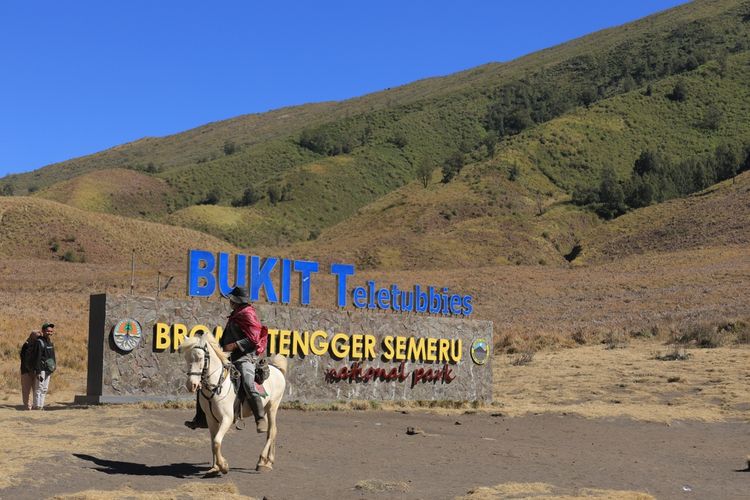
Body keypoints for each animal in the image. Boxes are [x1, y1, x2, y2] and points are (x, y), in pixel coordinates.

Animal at [181, 334, 290, 474]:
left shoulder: (227, 418)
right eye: (186, 357)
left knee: (271, 431)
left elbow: (217, 441)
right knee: (272, 430)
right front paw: (215, 467)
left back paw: (262, 462)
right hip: (264, 409)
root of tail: (278, 369)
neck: (217, 385)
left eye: (200, 357)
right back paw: (268, 461)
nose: (191, 385)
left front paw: (223, 466)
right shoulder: (211, 419)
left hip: (273, 407)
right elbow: (213, 443)